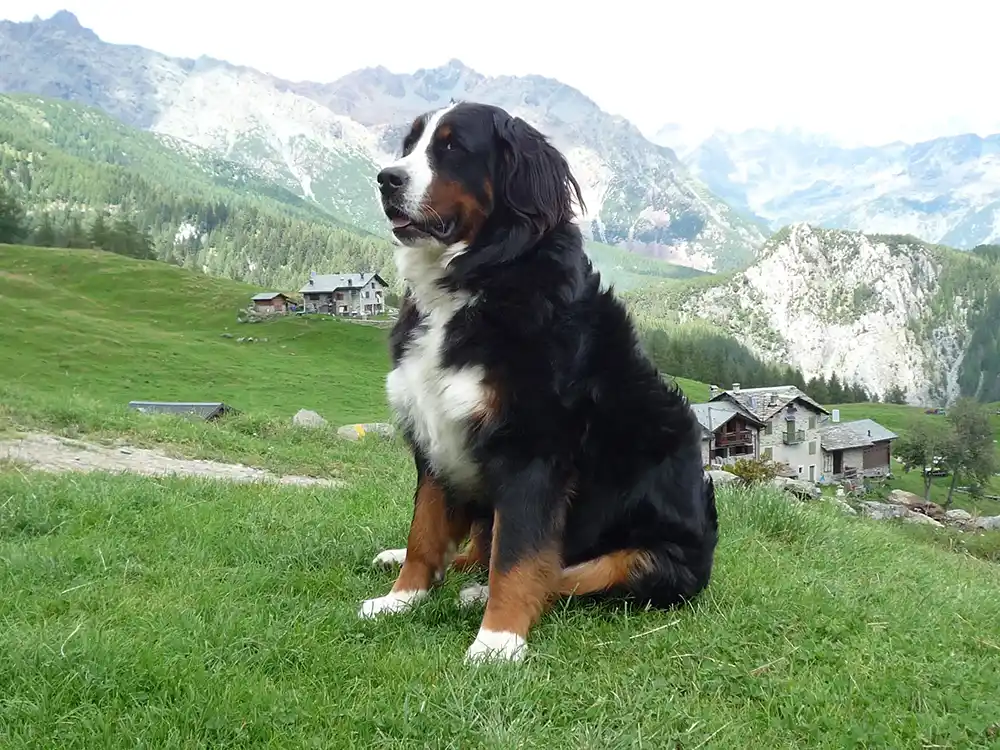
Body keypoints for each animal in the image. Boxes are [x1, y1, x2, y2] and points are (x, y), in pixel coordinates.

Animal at [360, 98, 720, 664]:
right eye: (409, 144)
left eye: (452, 148)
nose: (386, 178)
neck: (478, 279)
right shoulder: (435, 435)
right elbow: (425, 532)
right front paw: (403, 597)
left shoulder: (533, 450)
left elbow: (518, 555)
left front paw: (498, 639)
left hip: (651, 558)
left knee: (563, 573)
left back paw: (478, 594)